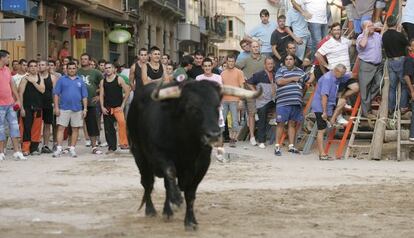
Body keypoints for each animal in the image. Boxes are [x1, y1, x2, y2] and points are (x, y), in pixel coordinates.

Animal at [127, 80, 262, 231]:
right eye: (192, 107)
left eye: (217, 106)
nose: (214, 135)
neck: (187, 145)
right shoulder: (159, 154)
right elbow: (170, 172)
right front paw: (177, 198)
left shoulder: (202, 165)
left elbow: (190, 194)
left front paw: (190, 221)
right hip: (139, 155)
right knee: (147, 183)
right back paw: (151, 210)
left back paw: (167, 211)